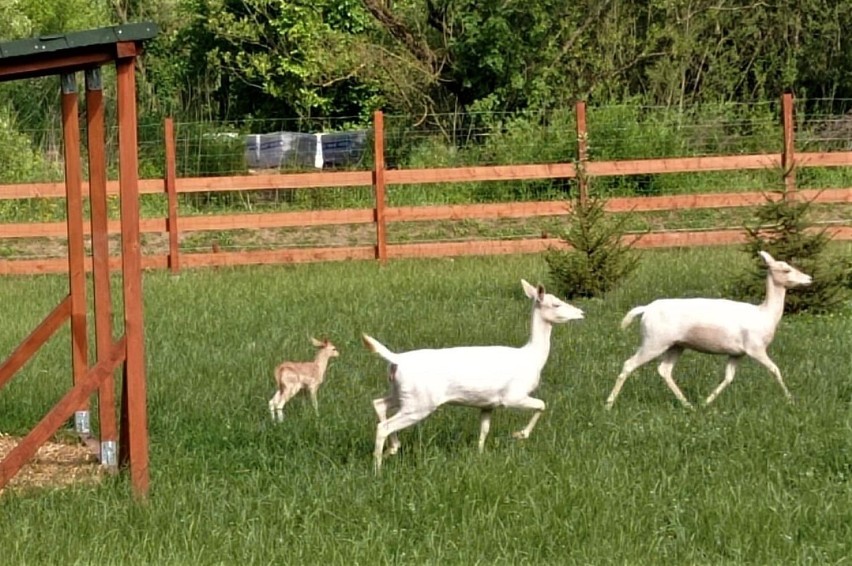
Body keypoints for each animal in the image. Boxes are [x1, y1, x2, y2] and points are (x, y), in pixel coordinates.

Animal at [360, 280, 584, 474]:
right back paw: (377, 469)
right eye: (556, 303)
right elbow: (542, 404)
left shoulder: (488, 404)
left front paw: (480, 455)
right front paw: (520, 434)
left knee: (379, 403)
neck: (532, 357)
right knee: (383, 426)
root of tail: (396, 359)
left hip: (403, 394)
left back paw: (392, 448)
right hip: (420, 402)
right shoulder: (512, 395)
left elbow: (484, 430)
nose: (581, 312)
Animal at [604, 252, 812, 408]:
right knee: (629, 364)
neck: (765, 314)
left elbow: (728, 378)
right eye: (786, 269)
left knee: (664, 370)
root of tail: (645, 309)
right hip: (654, 341)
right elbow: (775, 369)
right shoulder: (755, 348)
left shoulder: (737, 353)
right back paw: (609, 404)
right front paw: (791, 400)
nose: (809, 278)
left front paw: (706, 402)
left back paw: (688, 404)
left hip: (676, 345)